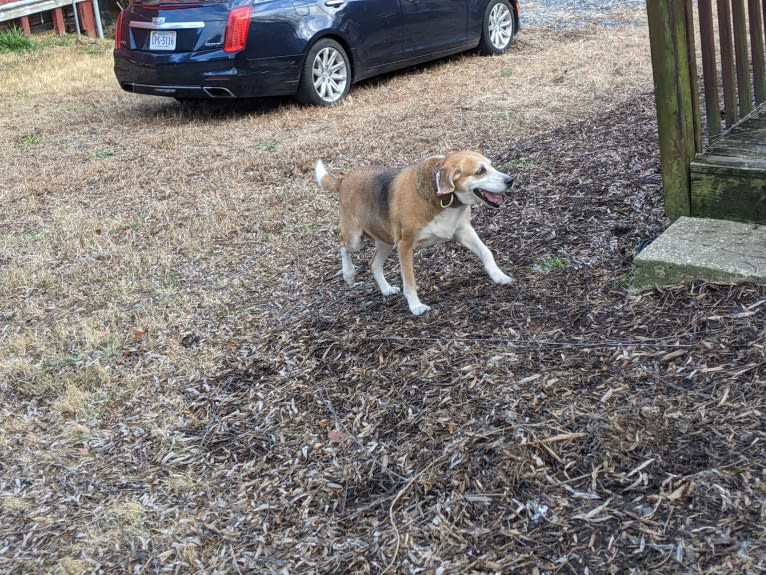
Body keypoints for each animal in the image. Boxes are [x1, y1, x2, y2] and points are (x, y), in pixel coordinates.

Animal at [318, 151, 516, 318]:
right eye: (480, 171)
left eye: (491, 165)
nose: (510, 180)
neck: (440, 195)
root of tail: (344, 179)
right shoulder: (405, 245)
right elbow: (410, 281)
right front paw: (416, 306)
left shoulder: (463, 231)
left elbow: (486, 252)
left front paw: (499, 276)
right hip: (355, 239)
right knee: (342, 245)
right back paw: (349, 274)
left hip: (386, 242)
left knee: (373, 264)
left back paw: (386, 289)